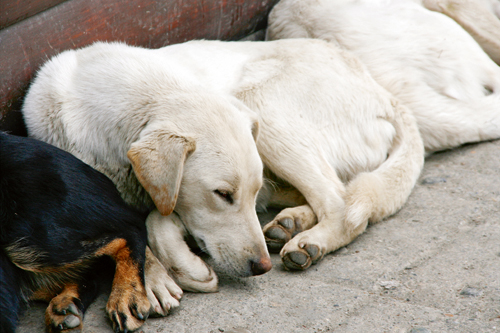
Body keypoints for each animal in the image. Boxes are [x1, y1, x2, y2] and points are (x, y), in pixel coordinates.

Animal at [22, 37, 422, 306]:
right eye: (223, 195)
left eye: (246, 192)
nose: (262, 267)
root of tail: (383, 93)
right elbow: (136, 229)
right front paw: (159, 275)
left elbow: (151, 220)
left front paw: (177, 268)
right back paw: (290, 223)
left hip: (262, 103)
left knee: (342, 204)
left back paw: (308, 242)